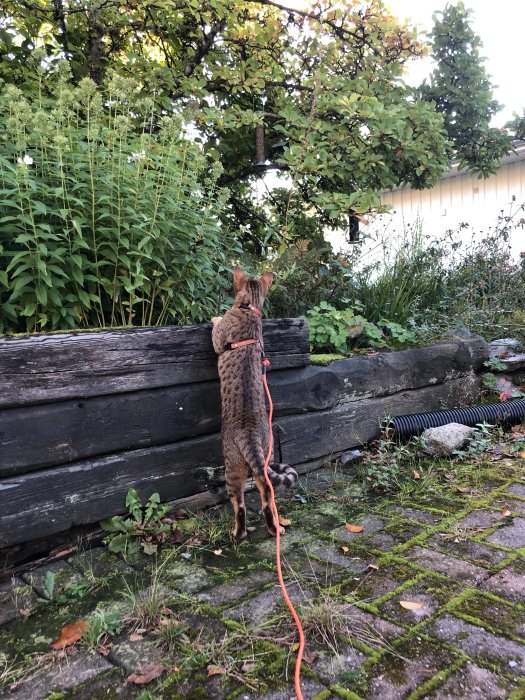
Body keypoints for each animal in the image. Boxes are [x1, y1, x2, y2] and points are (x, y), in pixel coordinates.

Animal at [211, 268, 296, 540]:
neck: (250, 309)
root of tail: (249, 434)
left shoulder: (218, 339)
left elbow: (216, 329)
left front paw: (215, 317)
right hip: (265, 461)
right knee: (267, 495)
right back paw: (274, 528)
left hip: (232, 470)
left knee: (239, 505)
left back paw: (238, 534)